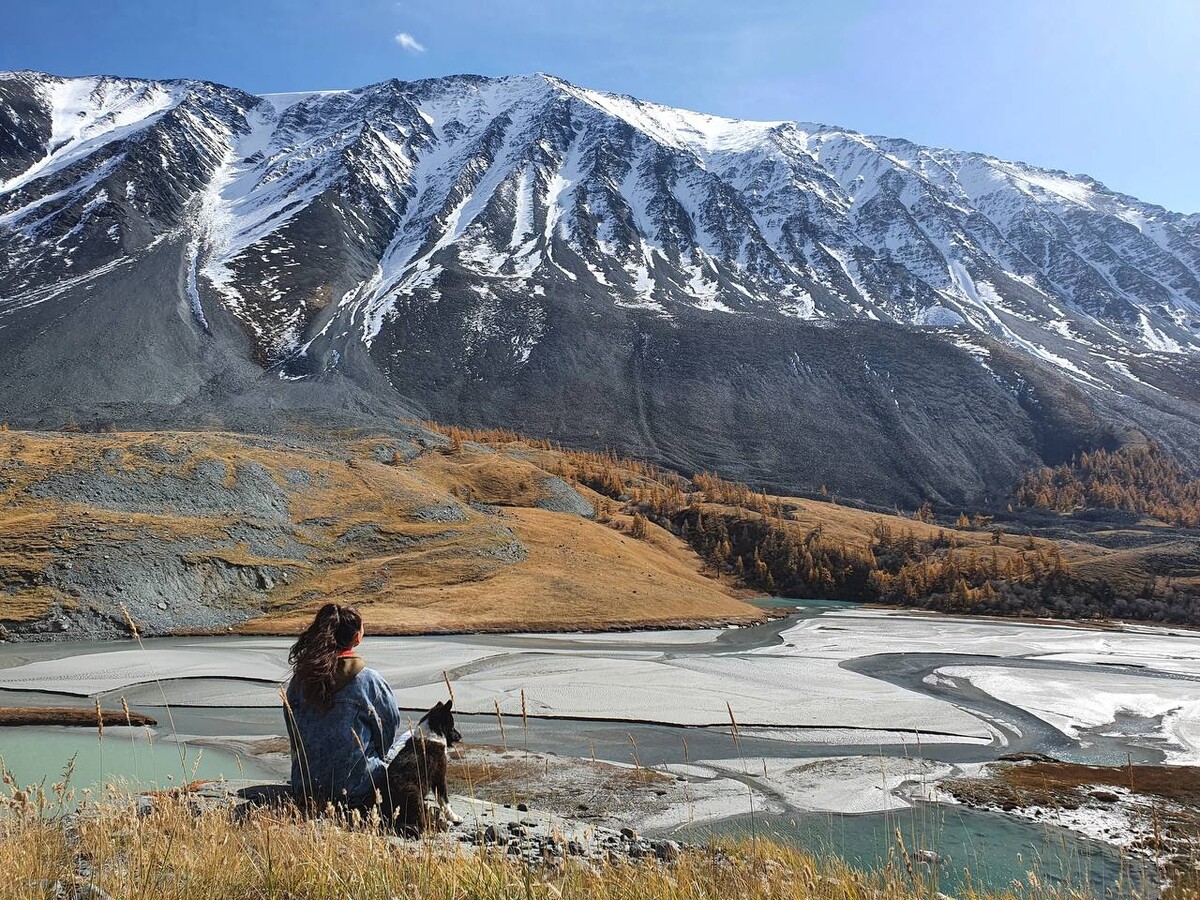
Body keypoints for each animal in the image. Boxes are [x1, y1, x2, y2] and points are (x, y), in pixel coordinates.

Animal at [386, 696, 460, 840]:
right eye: (452, 725)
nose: (460, 736)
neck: (431, 735)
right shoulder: (439, 777)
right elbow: (444, 800)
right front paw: (454, 817)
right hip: (414, 794)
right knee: (422, 824)